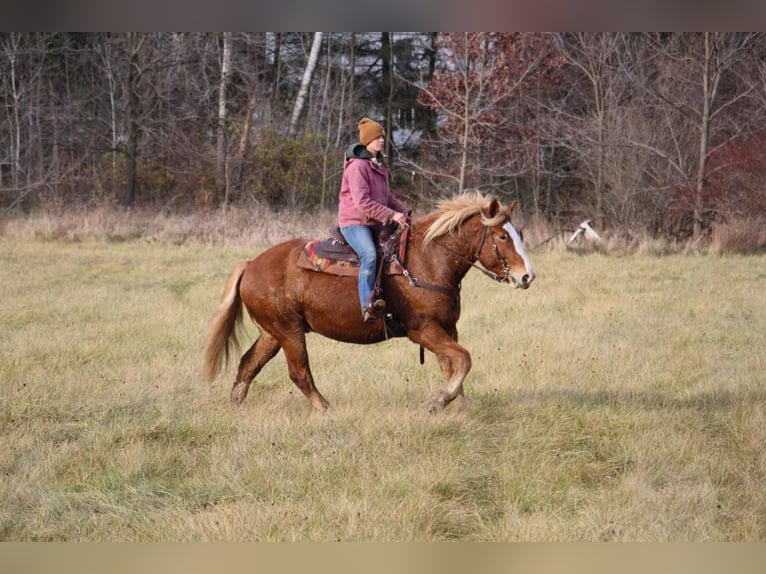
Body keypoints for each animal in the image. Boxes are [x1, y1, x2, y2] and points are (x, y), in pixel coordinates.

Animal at [206, 194, 540, 414]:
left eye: (520, 234)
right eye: (501, 236)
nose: (527, 276)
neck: (428, 260)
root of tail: (251, 264)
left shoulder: (447, 329)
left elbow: (453, 365)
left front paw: (458, 407)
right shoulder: (423, 330)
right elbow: (464, 359)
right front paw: (439, 402)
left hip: (273, 332)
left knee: (248, 365)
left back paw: (235, 408)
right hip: (288, 331)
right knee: (299, 373)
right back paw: (328, 410)